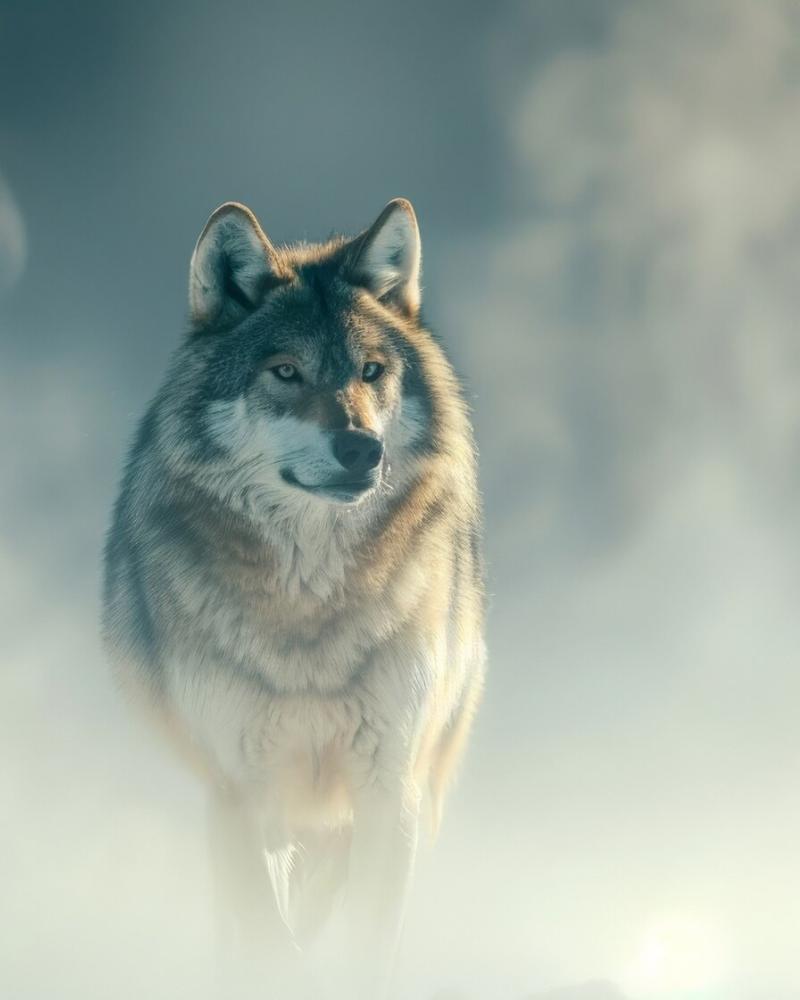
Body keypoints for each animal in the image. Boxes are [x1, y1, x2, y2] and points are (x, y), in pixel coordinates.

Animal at [102, 198, 486, 997]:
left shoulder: (388, 793)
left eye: (372, 372)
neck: (311, 606)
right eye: (286, 372)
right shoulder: (239, 793)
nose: (362, 449)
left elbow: (367, 952)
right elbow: (268, 950)